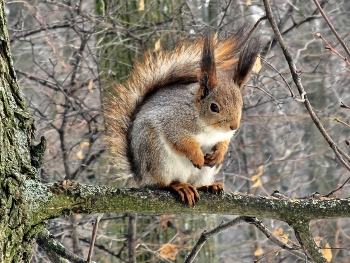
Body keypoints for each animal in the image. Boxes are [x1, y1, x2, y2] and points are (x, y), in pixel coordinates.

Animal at [104, 28, 260, 206]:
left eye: (241, 104)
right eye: (214, 107)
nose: (234, 126)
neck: (209, 127)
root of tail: (141, 176)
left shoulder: (223, 135)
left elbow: (223, 142)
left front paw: (219, 154)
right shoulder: (172, 121)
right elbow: (182, 141)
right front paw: (197, 156)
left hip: (203, 172)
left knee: (196, 183)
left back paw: (208, 186)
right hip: (156, 156)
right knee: (163, 184)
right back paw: (179, 186)